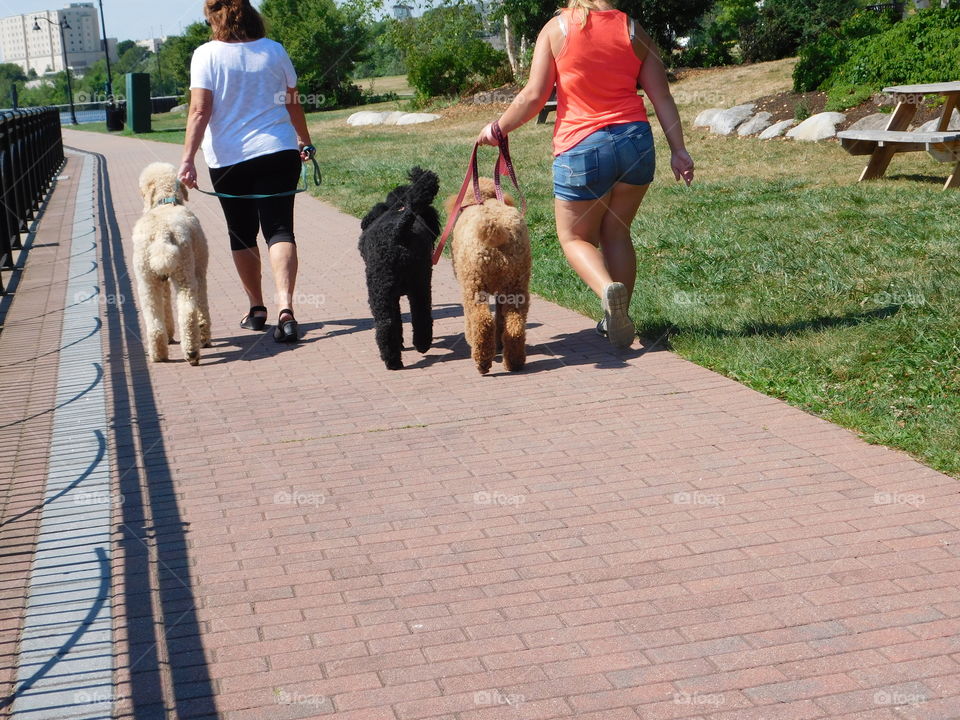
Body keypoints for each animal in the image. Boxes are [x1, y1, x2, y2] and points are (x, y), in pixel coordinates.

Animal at [132, 163, 211, 366]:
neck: (165, 202)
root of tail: (162, 232)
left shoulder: (161, 278)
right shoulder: (199, 272)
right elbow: (202, 305)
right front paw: (205, 335)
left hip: (147, 279)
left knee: (153, 317)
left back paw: (159, 353)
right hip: (184, 272)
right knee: (188, 312)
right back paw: (192, 351)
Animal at [444, 177, 528, 374]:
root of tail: (498, 231)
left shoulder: (468, 287)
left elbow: (471, 319)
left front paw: (471, 338)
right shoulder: (502, 292)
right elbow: (501, 318)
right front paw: (499, 343)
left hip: (474, 284)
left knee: (483, 321)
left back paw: (481, 360)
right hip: (516, 285)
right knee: (515, 324)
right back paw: (514, 361)